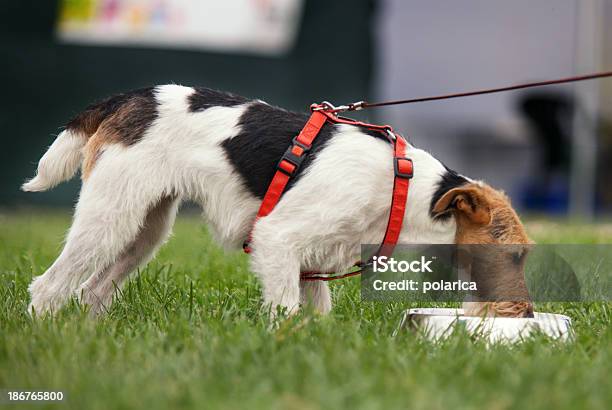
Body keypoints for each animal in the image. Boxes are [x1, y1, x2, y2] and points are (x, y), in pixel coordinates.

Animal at [21, 85, 532, 318]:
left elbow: (319, 314)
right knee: (49, 287)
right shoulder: (278, 240)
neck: (403, 191)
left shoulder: (313, 260)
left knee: (93, 291)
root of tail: (128, 98)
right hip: (109, 219)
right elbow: (284, 311)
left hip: (143, 230)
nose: (526, 314)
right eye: (516, 255)